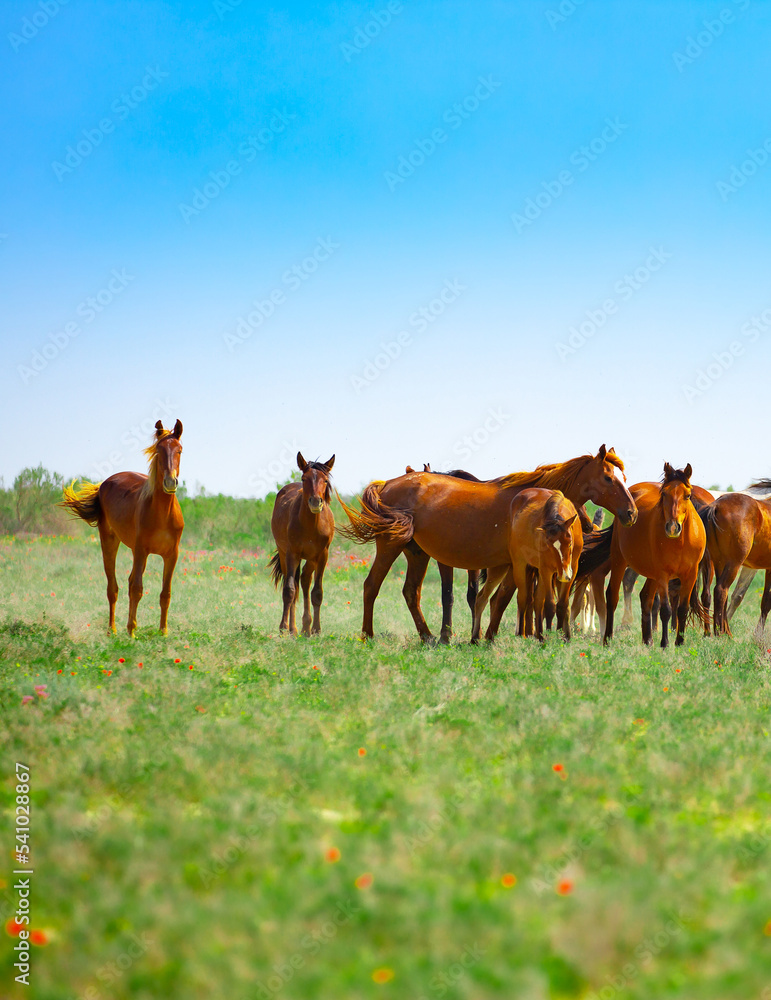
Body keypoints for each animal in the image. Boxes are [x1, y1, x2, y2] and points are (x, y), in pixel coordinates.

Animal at [60, 419, 184, 636]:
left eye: (179, 450)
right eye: (159, 450)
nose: (170, 482)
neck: (162, 514)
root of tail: (104, 483)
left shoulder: (171, 555)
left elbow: (165, 593)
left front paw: (163, 632)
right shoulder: (141, 550)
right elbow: (137, 589)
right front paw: (132, 631)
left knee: (128, 583)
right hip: (110, 542)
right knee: (113, 588)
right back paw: (113, 629)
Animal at [269, 453, 335, 636]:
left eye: (325, 480)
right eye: (304, 478)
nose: (315, 502)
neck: (311, 525)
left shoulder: (323, 555)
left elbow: (317, 592)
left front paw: (317, 629)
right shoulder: (292, 553)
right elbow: (289, 590)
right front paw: (284, 628)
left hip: (312, 558)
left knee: (305, 580)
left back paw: (306, 627)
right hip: (285, 554)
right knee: (294, 585)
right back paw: (294, 628)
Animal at [340, 446, 637, 642]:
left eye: (622, 478)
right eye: (608, 478)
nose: (631, 512)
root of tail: (387, 483)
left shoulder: (513, 566)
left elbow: (503, 599)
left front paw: (493, 635)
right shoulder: (516, 564)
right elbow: (505, 598)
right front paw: (497, 636)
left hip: (417, 553)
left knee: (411, 592)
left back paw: (428, 637)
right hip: (390, 547)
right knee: (372, 586)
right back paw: (368, 635)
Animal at [578, 463, 707, 648]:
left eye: (688, 495)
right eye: (664, 494)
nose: (672, 527)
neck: (680, 543)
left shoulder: (690, 575)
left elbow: (682, 609)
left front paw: (679, 642)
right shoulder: (663, 575)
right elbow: (665, 610)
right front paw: (665, 643)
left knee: (645, 597)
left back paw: (648, 640)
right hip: (619, 560)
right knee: (612, 596)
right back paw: (608, 638)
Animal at [699, 479, 771, 637]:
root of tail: (715, 506)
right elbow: (766, 601)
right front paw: (758, 635)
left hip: (719, 563)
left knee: (714, 593)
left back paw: (715, 632)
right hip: (733, 564)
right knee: (721, 590)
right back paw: (721, 633)